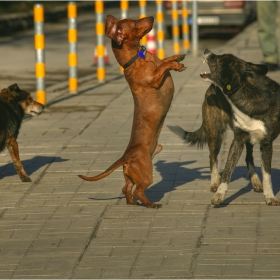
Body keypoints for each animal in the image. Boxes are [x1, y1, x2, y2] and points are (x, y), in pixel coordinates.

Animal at [77, 15, 186, 208]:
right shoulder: (154, 78)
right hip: (146, 172)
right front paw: (175, 65)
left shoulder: (158, 63)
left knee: (126, 188)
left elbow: (164, 60)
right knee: (138, 191)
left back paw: (131, 202)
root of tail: (125, 157)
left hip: (132, 174)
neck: (138, 58)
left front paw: (177, 57)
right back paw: (151, 204)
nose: (151, 16)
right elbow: (163, 66)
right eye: (135, 23)